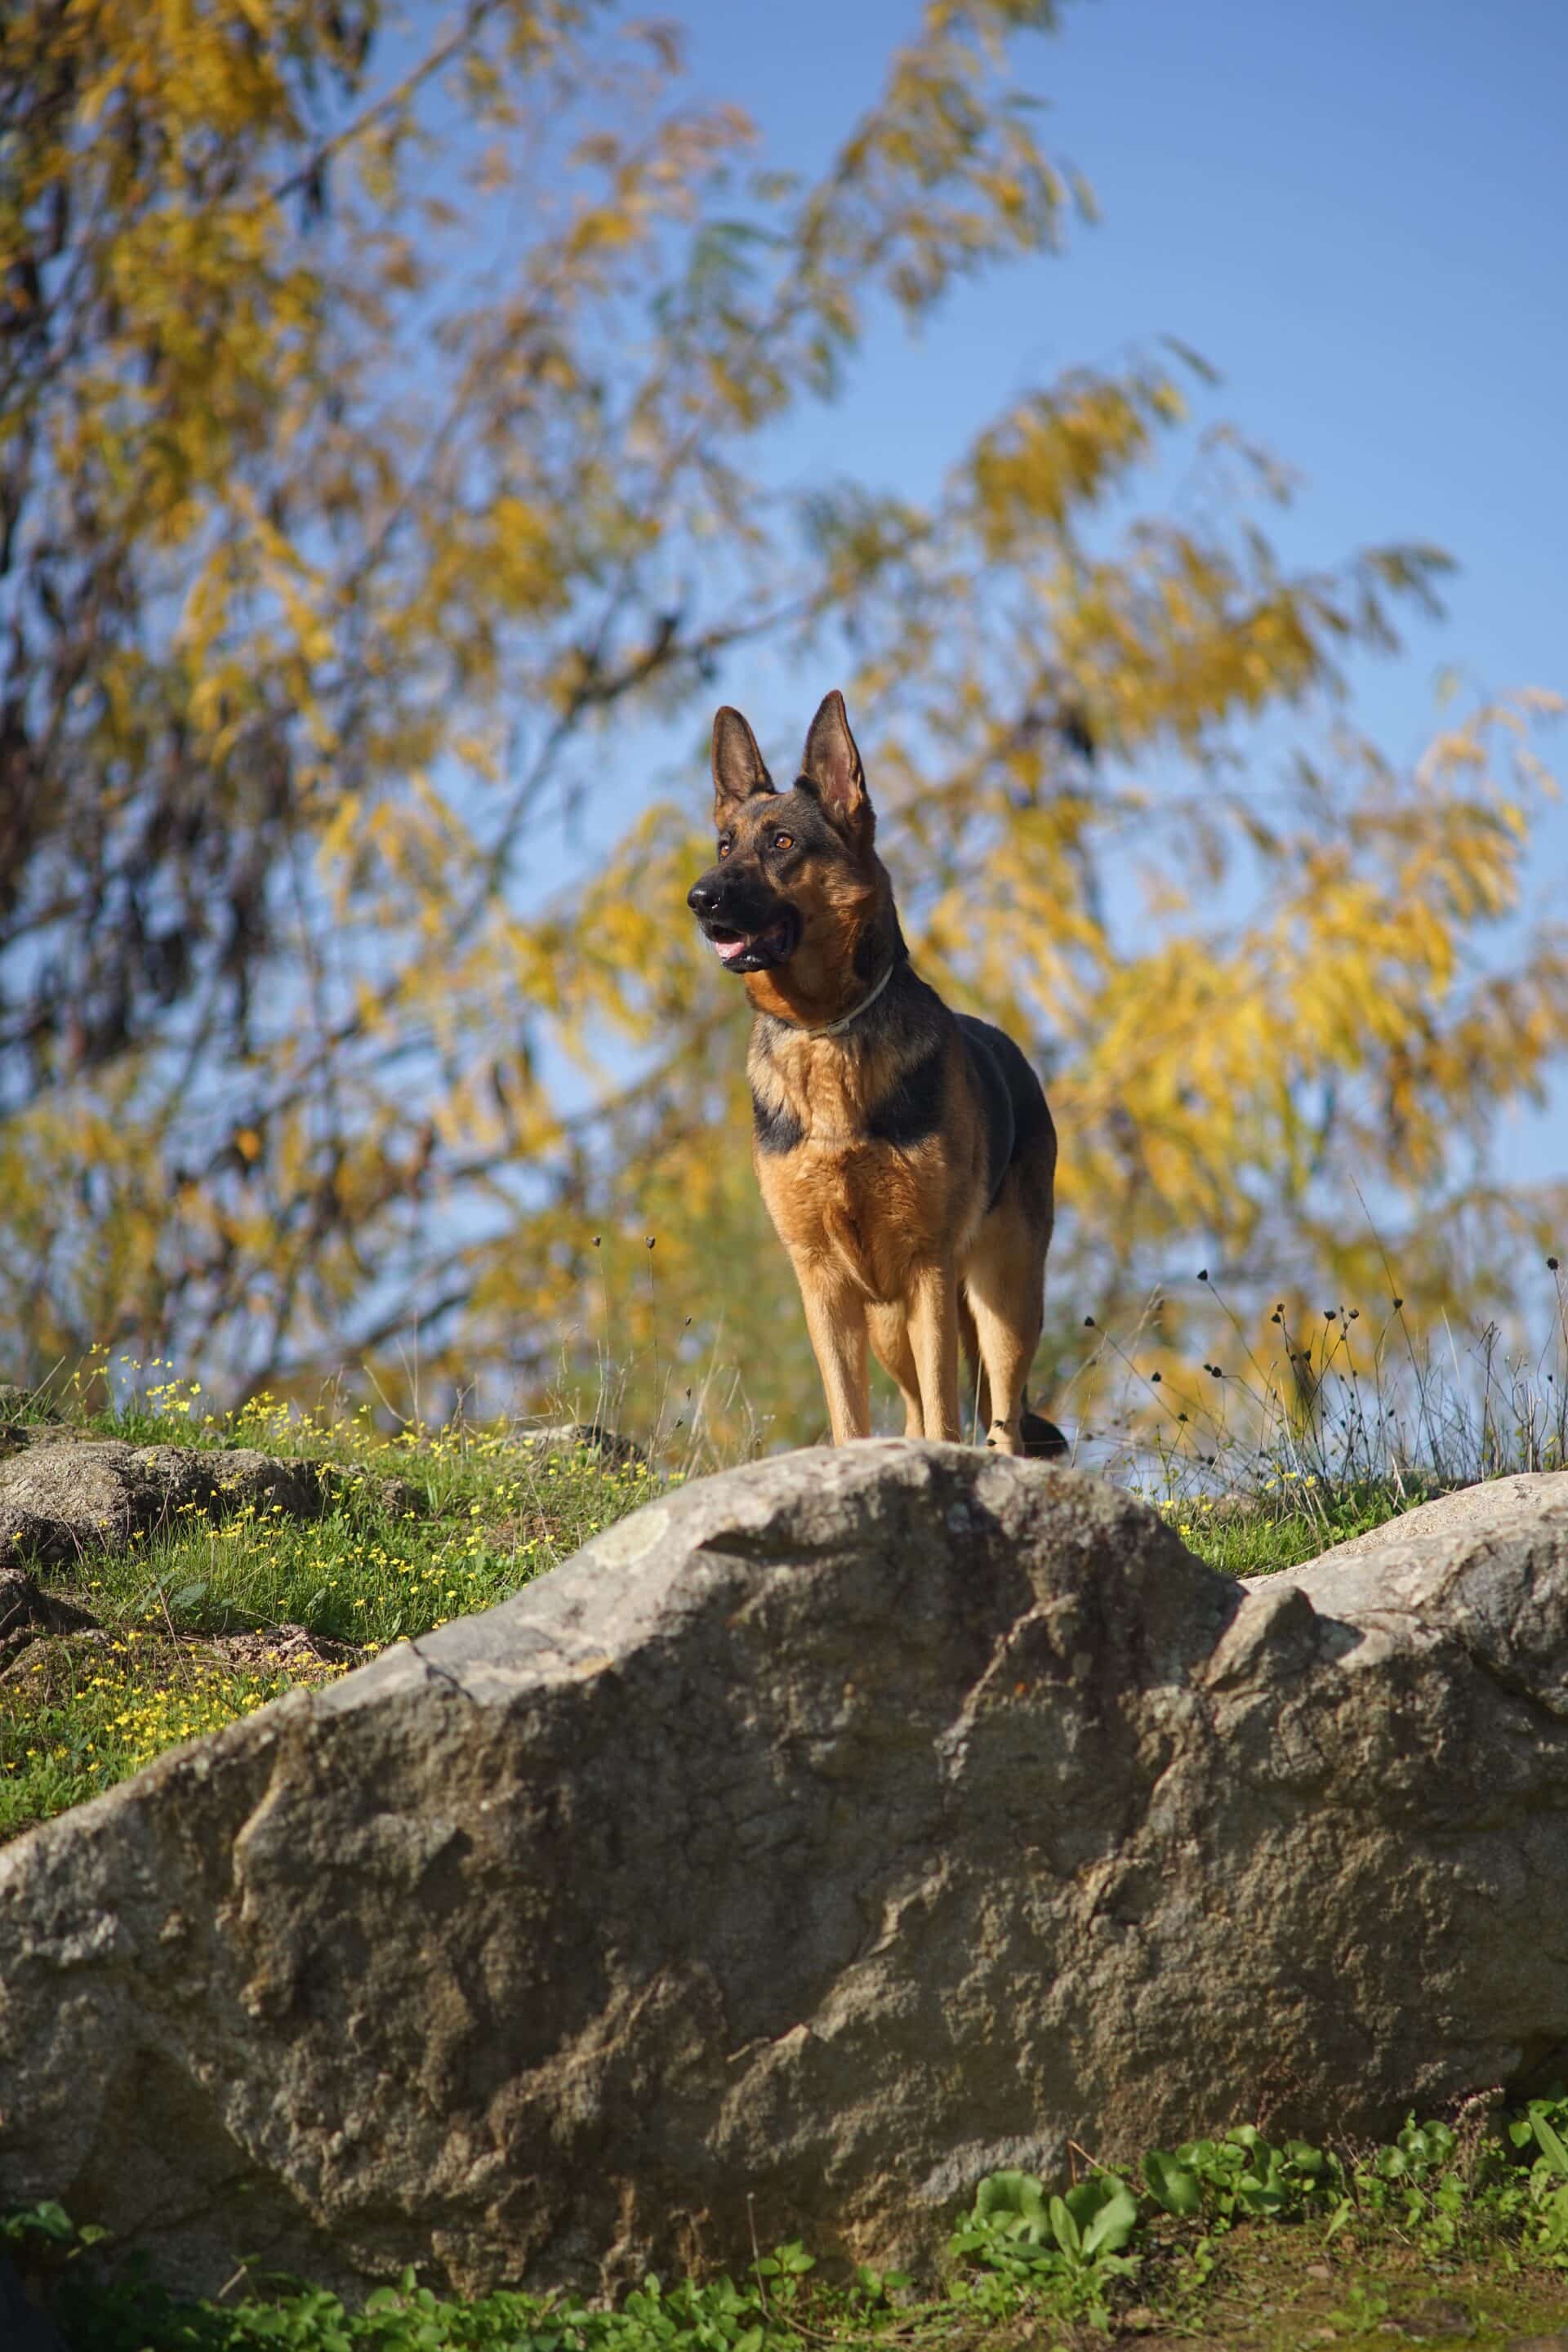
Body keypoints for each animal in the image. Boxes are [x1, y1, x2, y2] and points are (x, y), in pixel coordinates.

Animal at [691, 686, 1071, 1449]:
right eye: (724, 845)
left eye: (782, 844)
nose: (699, 899)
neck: (827, 1032)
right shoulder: (825, 1283)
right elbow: (850, 1418)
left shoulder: (928, 1267)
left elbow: (951, 1417)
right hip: (891, 1322)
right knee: (920, 1411)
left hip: (1001, 1297)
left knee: (1000, 1418)